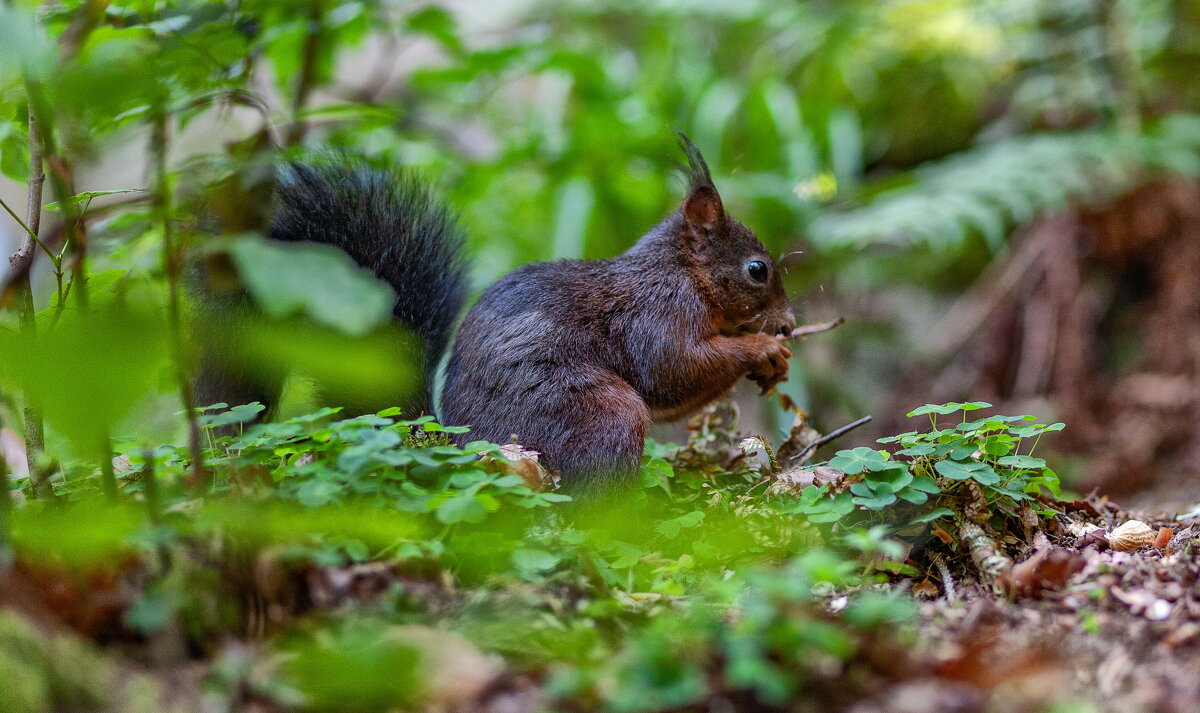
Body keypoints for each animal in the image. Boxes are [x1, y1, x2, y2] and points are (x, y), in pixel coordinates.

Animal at [196, 132, 796, 489]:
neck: (682, 273)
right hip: (592, 411)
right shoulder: (657, 313)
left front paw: (775, 360)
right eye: (757, 269)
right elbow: (672, 369)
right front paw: (761, 347)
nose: (790, 324)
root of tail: (455, 443)